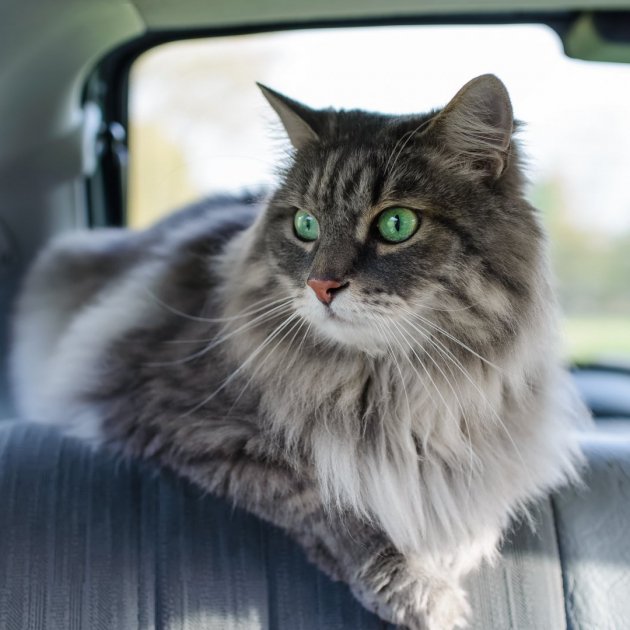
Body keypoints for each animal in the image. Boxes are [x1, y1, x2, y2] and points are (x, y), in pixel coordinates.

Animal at [9, 75, 584, 630]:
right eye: (305, 225)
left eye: (396, 224)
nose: (321, 286)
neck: (389, 388)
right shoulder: (183, 419)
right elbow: (329, 498)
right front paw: (421, 587)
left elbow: (475, 500)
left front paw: (455, 549)